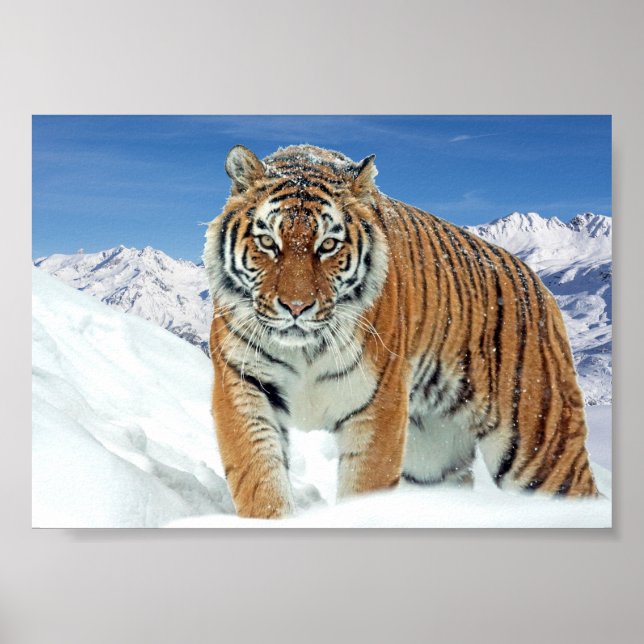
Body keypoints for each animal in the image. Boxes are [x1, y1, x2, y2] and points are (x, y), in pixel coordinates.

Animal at [203, 143, 598, 519]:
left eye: (328, 245)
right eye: (268, 242)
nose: (296, 307)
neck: (305, 350)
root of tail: (537, 281)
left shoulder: (378, 404)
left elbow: (365, 486)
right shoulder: (243, 384)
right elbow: (259, 478)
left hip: (540, 445)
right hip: (433, 457)